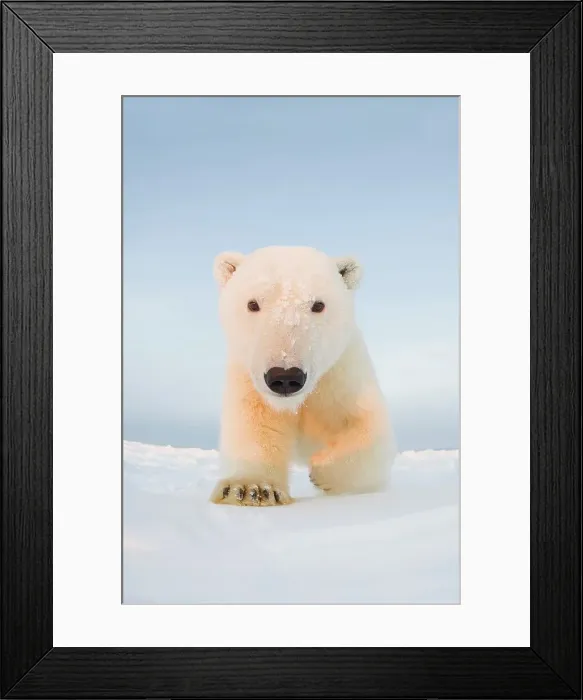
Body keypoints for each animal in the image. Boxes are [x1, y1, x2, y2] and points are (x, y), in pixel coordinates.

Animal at [209, 245, 396, 506]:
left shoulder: (340, 379)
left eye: (318, 305)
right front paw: (250, 488)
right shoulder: (250, 384)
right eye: (252, 304)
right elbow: (255, 428)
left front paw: (321, 468)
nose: (285, 377)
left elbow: (369, 430)